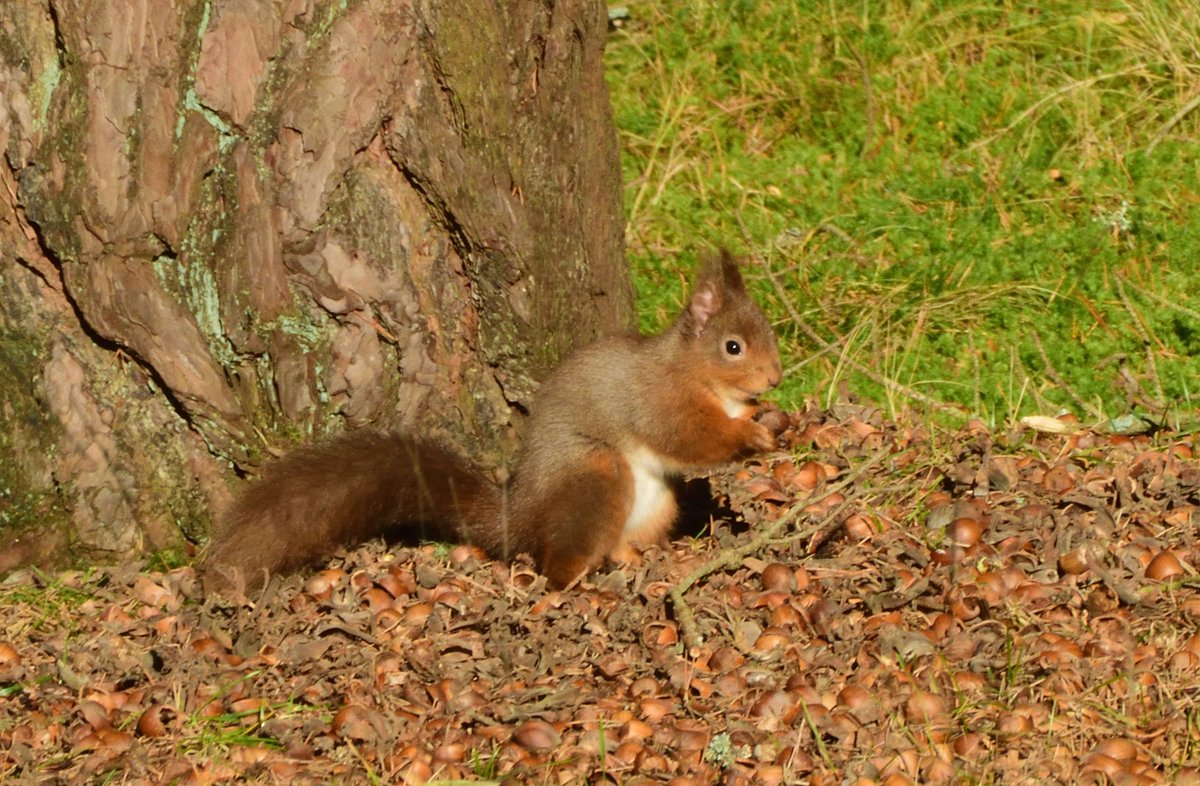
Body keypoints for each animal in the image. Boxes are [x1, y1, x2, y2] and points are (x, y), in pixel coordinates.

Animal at [203, 251, 782, 592]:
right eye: (733, 347)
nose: (775, 378)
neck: (697, 375)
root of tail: (520, 516)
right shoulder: (658, 400)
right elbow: (689, 437)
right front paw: (748, 434)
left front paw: (770, 418)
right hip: (596, 474)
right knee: (558, 562)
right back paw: (577, 583)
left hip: (653, 505)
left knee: (614, 546)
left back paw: (637, 563)